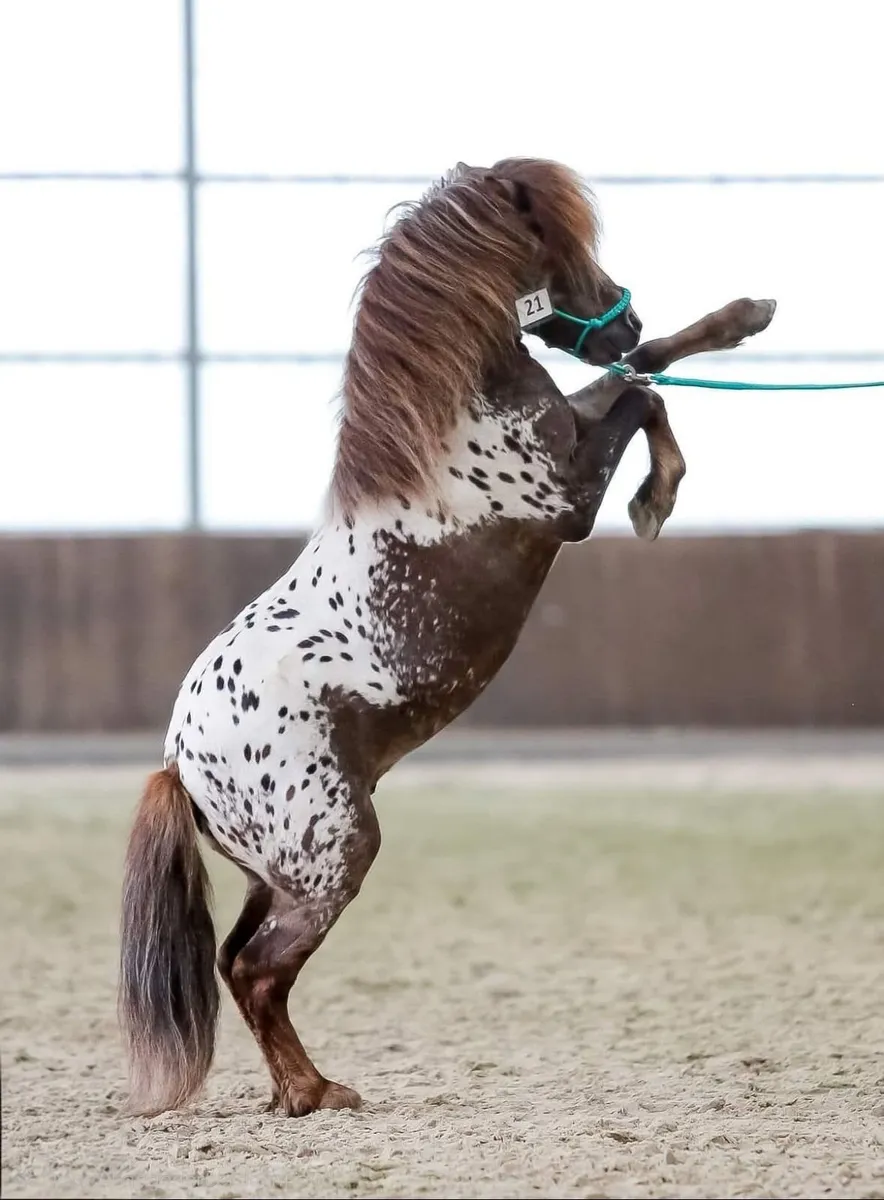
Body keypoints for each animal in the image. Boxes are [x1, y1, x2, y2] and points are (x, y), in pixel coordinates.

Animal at [118, 156, 776, 1118]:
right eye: (563, 239)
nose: (624, 310)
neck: (450, 426)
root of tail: (181, 761)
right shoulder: (568, 497)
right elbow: (642, 393)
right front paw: (656, 498)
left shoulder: (572, 429)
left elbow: (643, 371)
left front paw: (743, 317)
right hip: (332, 857)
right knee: (260, 973)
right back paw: (319, 1094)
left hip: (271, 875)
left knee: (235, 963)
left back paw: (292, 1093)